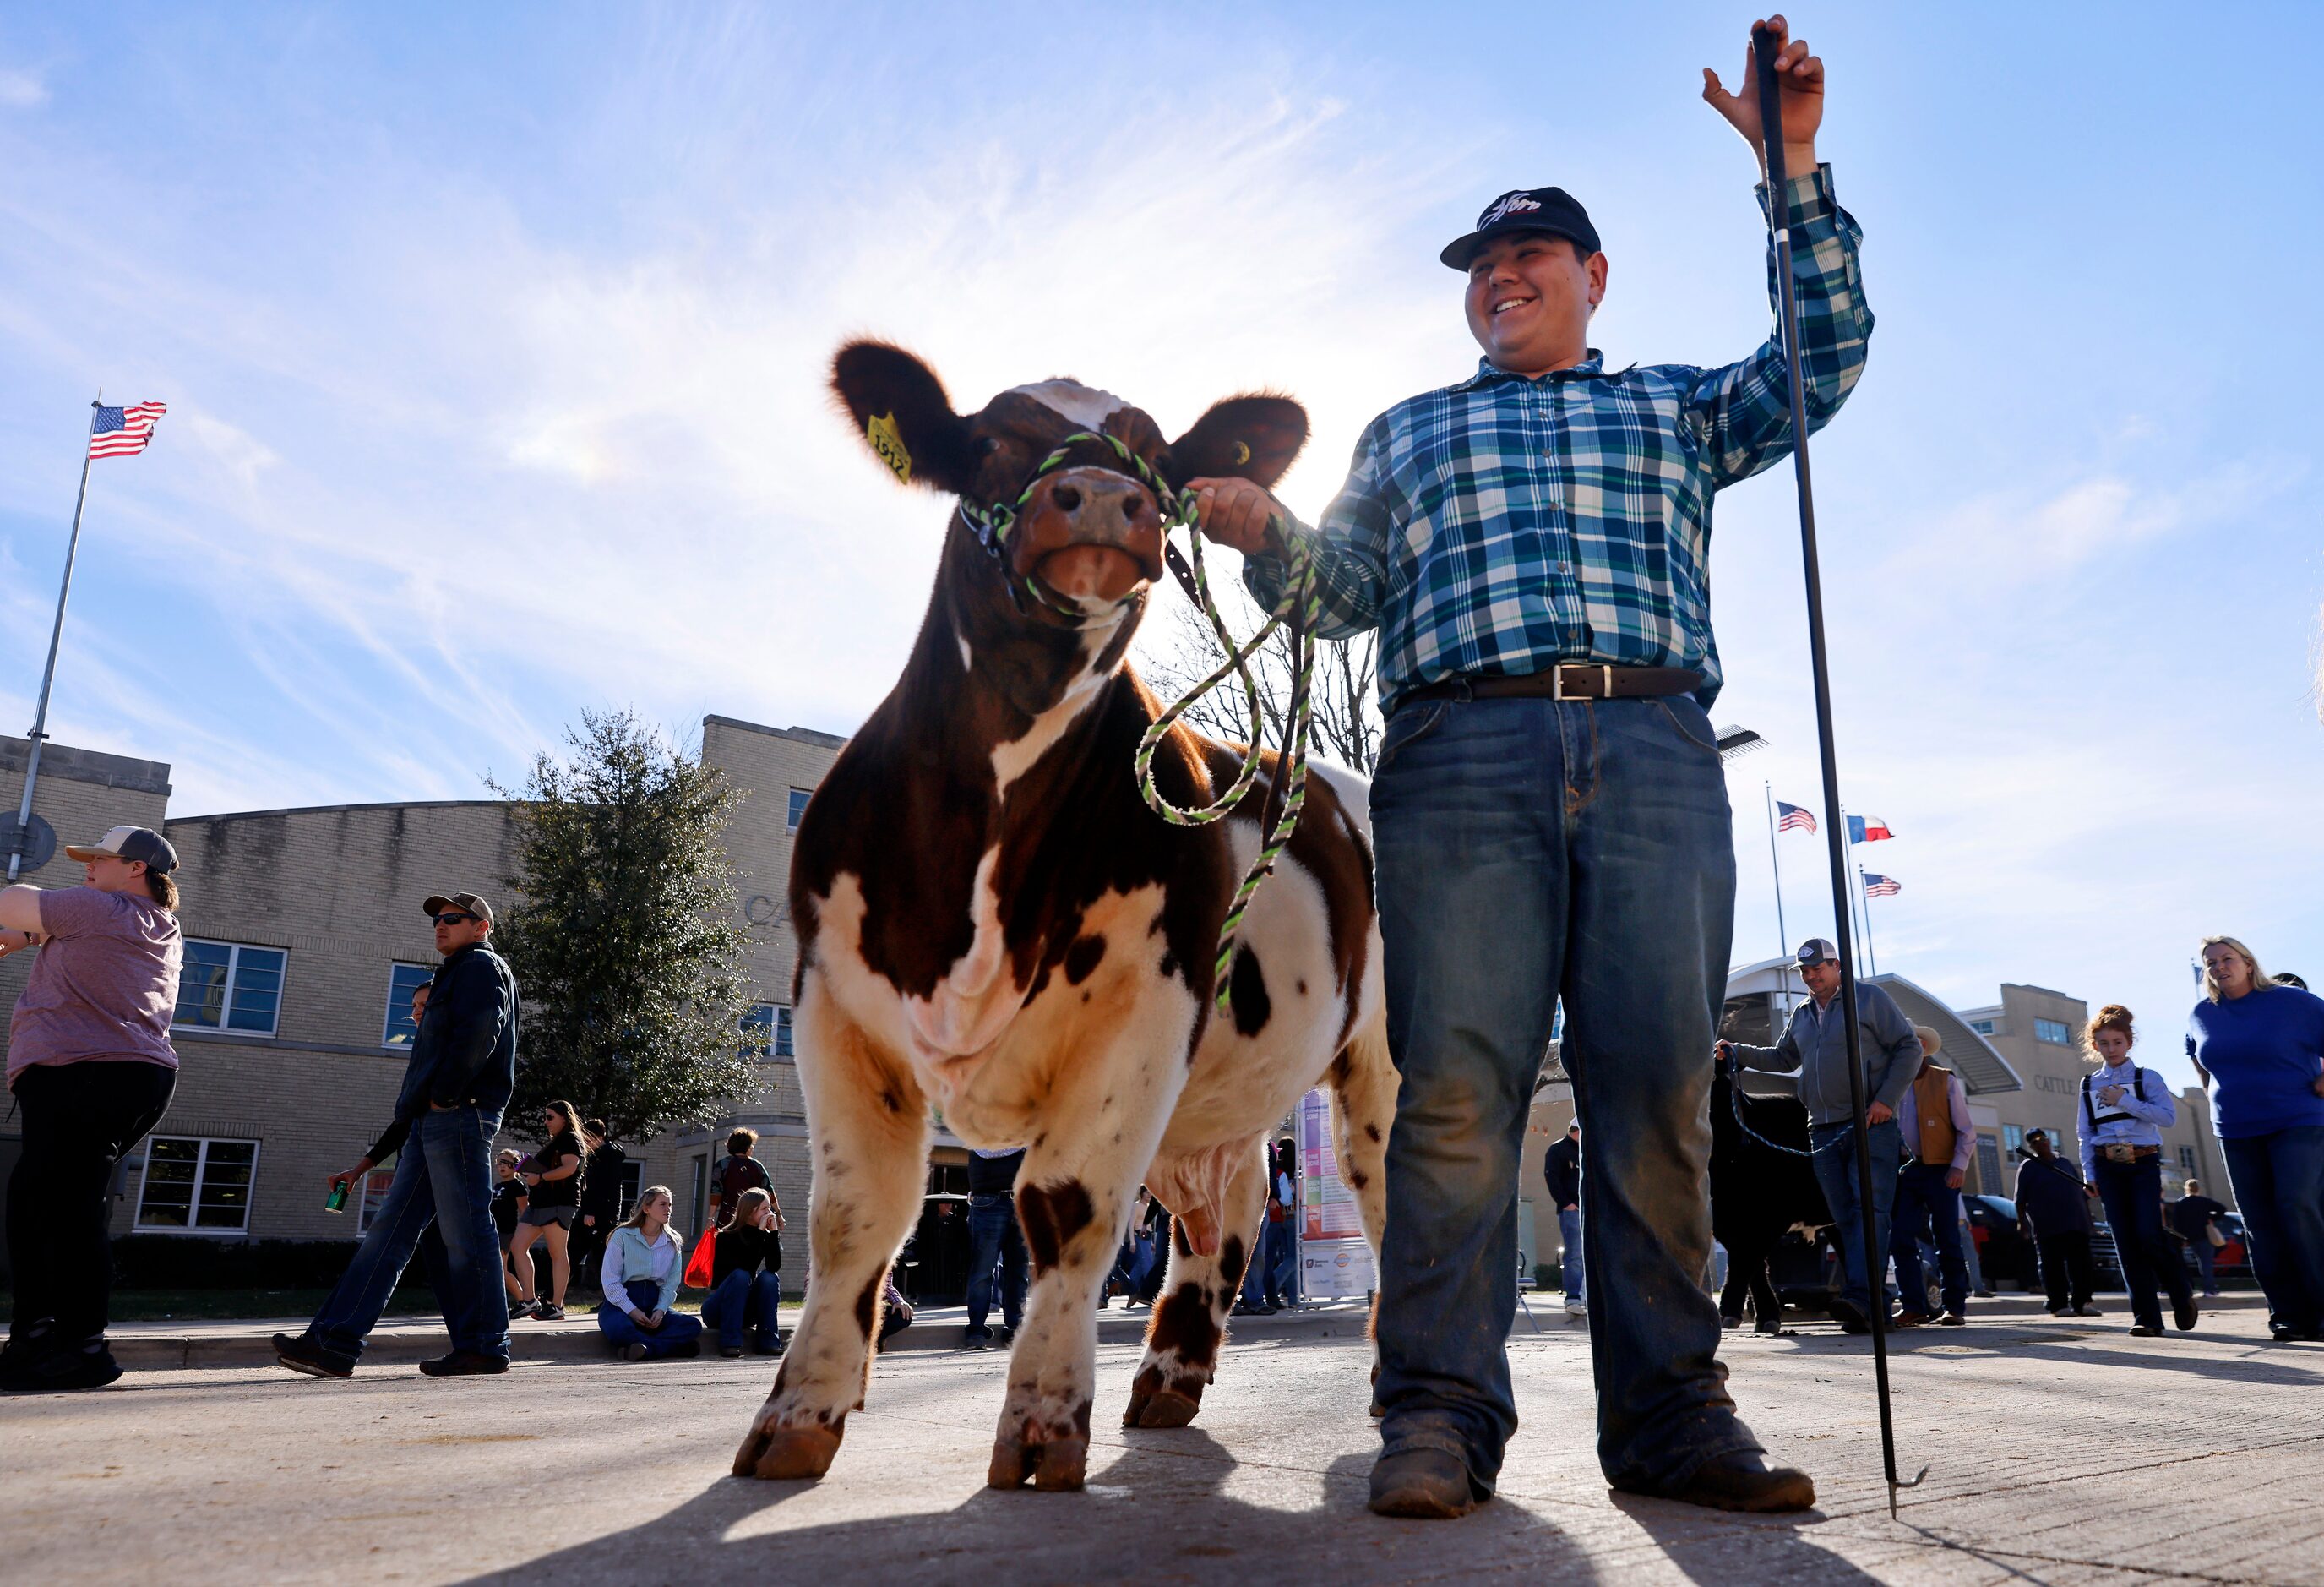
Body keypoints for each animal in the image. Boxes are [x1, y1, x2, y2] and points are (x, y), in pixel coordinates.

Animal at [734, 341, 1385, 1496]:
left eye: (1159, 461)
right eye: (991, 440)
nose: (1106, 499)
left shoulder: (1142, 1013)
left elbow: (1068, 1209)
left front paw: (1041, 1426)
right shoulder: (832, 1005)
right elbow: (855, 1218)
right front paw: (799, 1415)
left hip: (1380, 1052)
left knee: (1389, 1182)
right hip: (1218, 1093)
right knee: (1221, 1214)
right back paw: (1170, 1374)